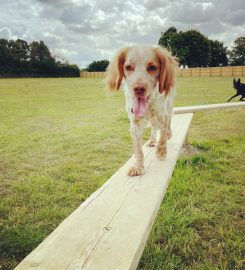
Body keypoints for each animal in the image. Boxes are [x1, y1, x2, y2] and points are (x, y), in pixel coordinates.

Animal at [105, 46, 178, 177]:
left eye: (152, 67)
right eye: (128, 67)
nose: (139, 88)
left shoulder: (162, 114)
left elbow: (163, 135)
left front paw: (161, 152)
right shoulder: (135, 123)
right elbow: (138, 149)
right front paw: (138, 167)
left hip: (169, 106)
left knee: (168, 122)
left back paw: (168, 135)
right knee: (154, 127)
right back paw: (152, 140)